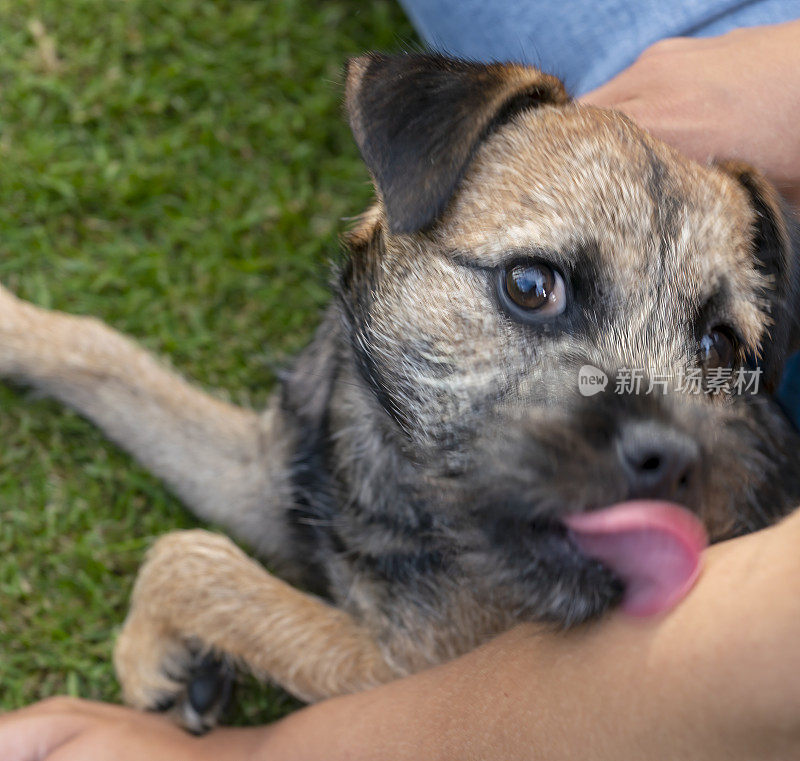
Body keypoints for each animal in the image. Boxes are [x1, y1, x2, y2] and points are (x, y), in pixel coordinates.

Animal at [1, 53, 800, 732]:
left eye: (720, 347)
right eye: (531, 284)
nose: (673, 458)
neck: (393, 464)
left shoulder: (400, 667)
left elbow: (195, 562)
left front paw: (147, 652)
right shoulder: (260, 471)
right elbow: (103, 352)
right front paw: (15, 323)